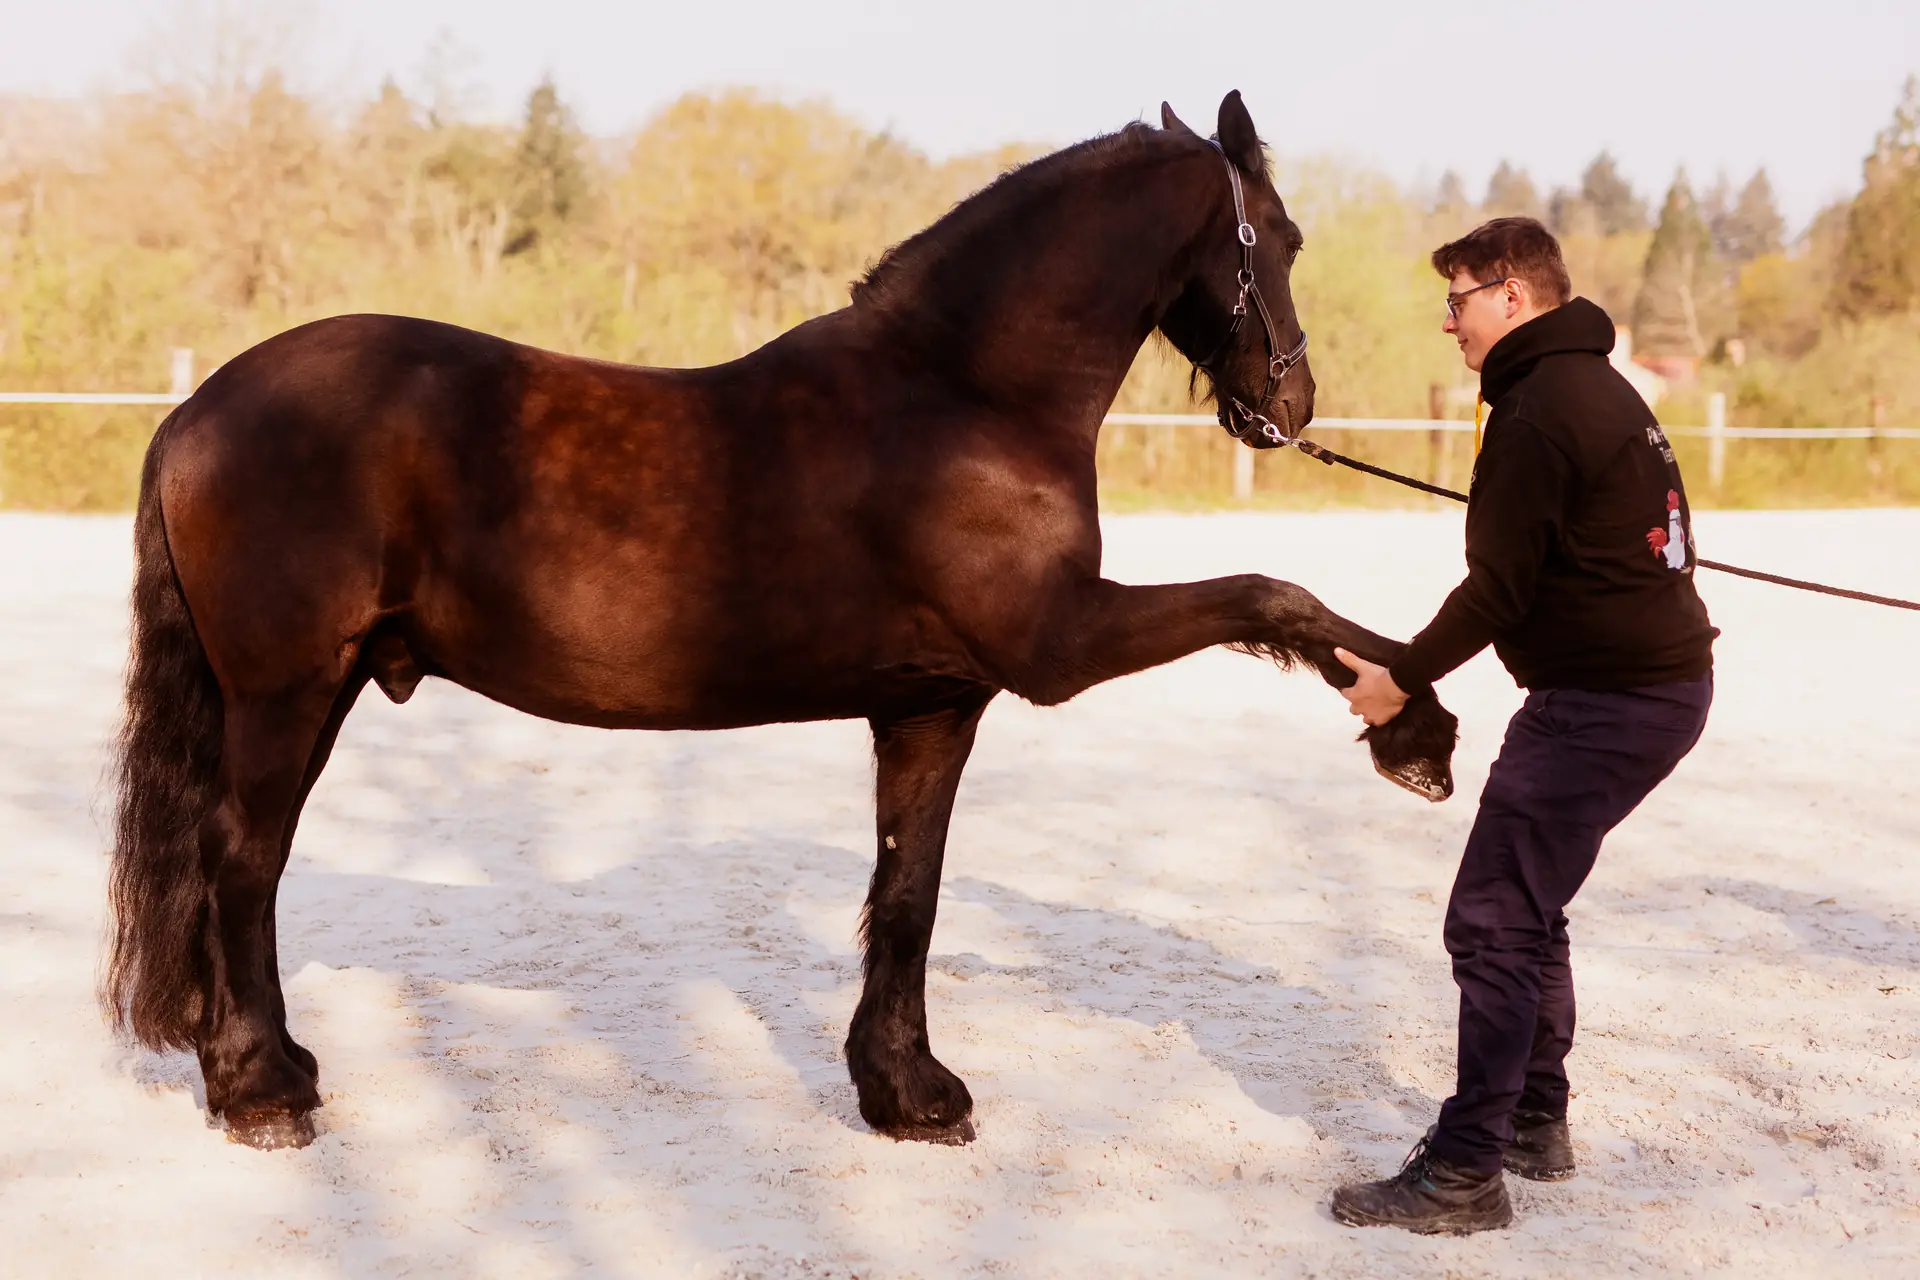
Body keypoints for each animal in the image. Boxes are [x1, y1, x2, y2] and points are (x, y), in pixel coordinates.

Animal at [104, 91, 1458, 1151]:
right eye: (1280, 235)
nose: (1292, 401)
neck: (965, 394)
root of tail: (200, 410)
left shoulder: (932, 703)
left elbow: (908, 891)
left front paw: (907, 1091)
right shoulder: (1062, 642)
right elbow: (1273, 595)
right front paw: (1417, 732)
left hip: (317, 688)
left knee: (244, 864)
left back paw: (272, 1065)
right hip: (287, 690)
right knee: (243, 860)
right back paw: (262, 1091)